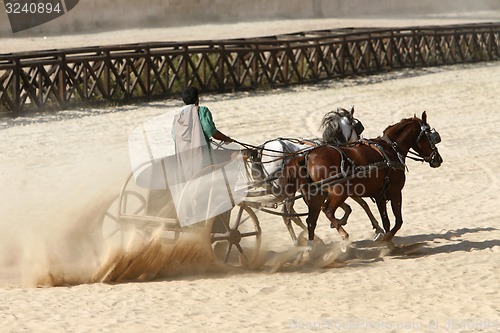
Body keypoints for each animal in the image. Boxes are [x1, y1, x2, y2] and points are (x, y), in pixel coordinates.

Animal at [249, 107, 378, 243]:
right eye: (358, 127)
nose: (359, 143)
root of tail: (262, 149)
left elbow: (349, 206)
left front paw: (339, 221)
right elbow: (361, 204)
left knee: (291, 215)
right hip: (289, 192)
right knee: (287, 215)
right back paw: (298, 241)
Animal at [280, 111, 444, 244]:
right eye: (429, 135)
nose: (438, 159)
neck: (390, 150)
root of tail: (307, 156)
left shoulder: (380, 195)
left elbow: (385, 221)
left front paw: (386, 241)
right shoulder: (395, 192)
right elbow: (398, 221)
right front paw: (386, 239)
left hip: (316, 196)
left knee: (310, 221)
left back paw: (311, 249)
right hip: (339, 192)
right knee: (327, 211)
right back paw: (343, 235)